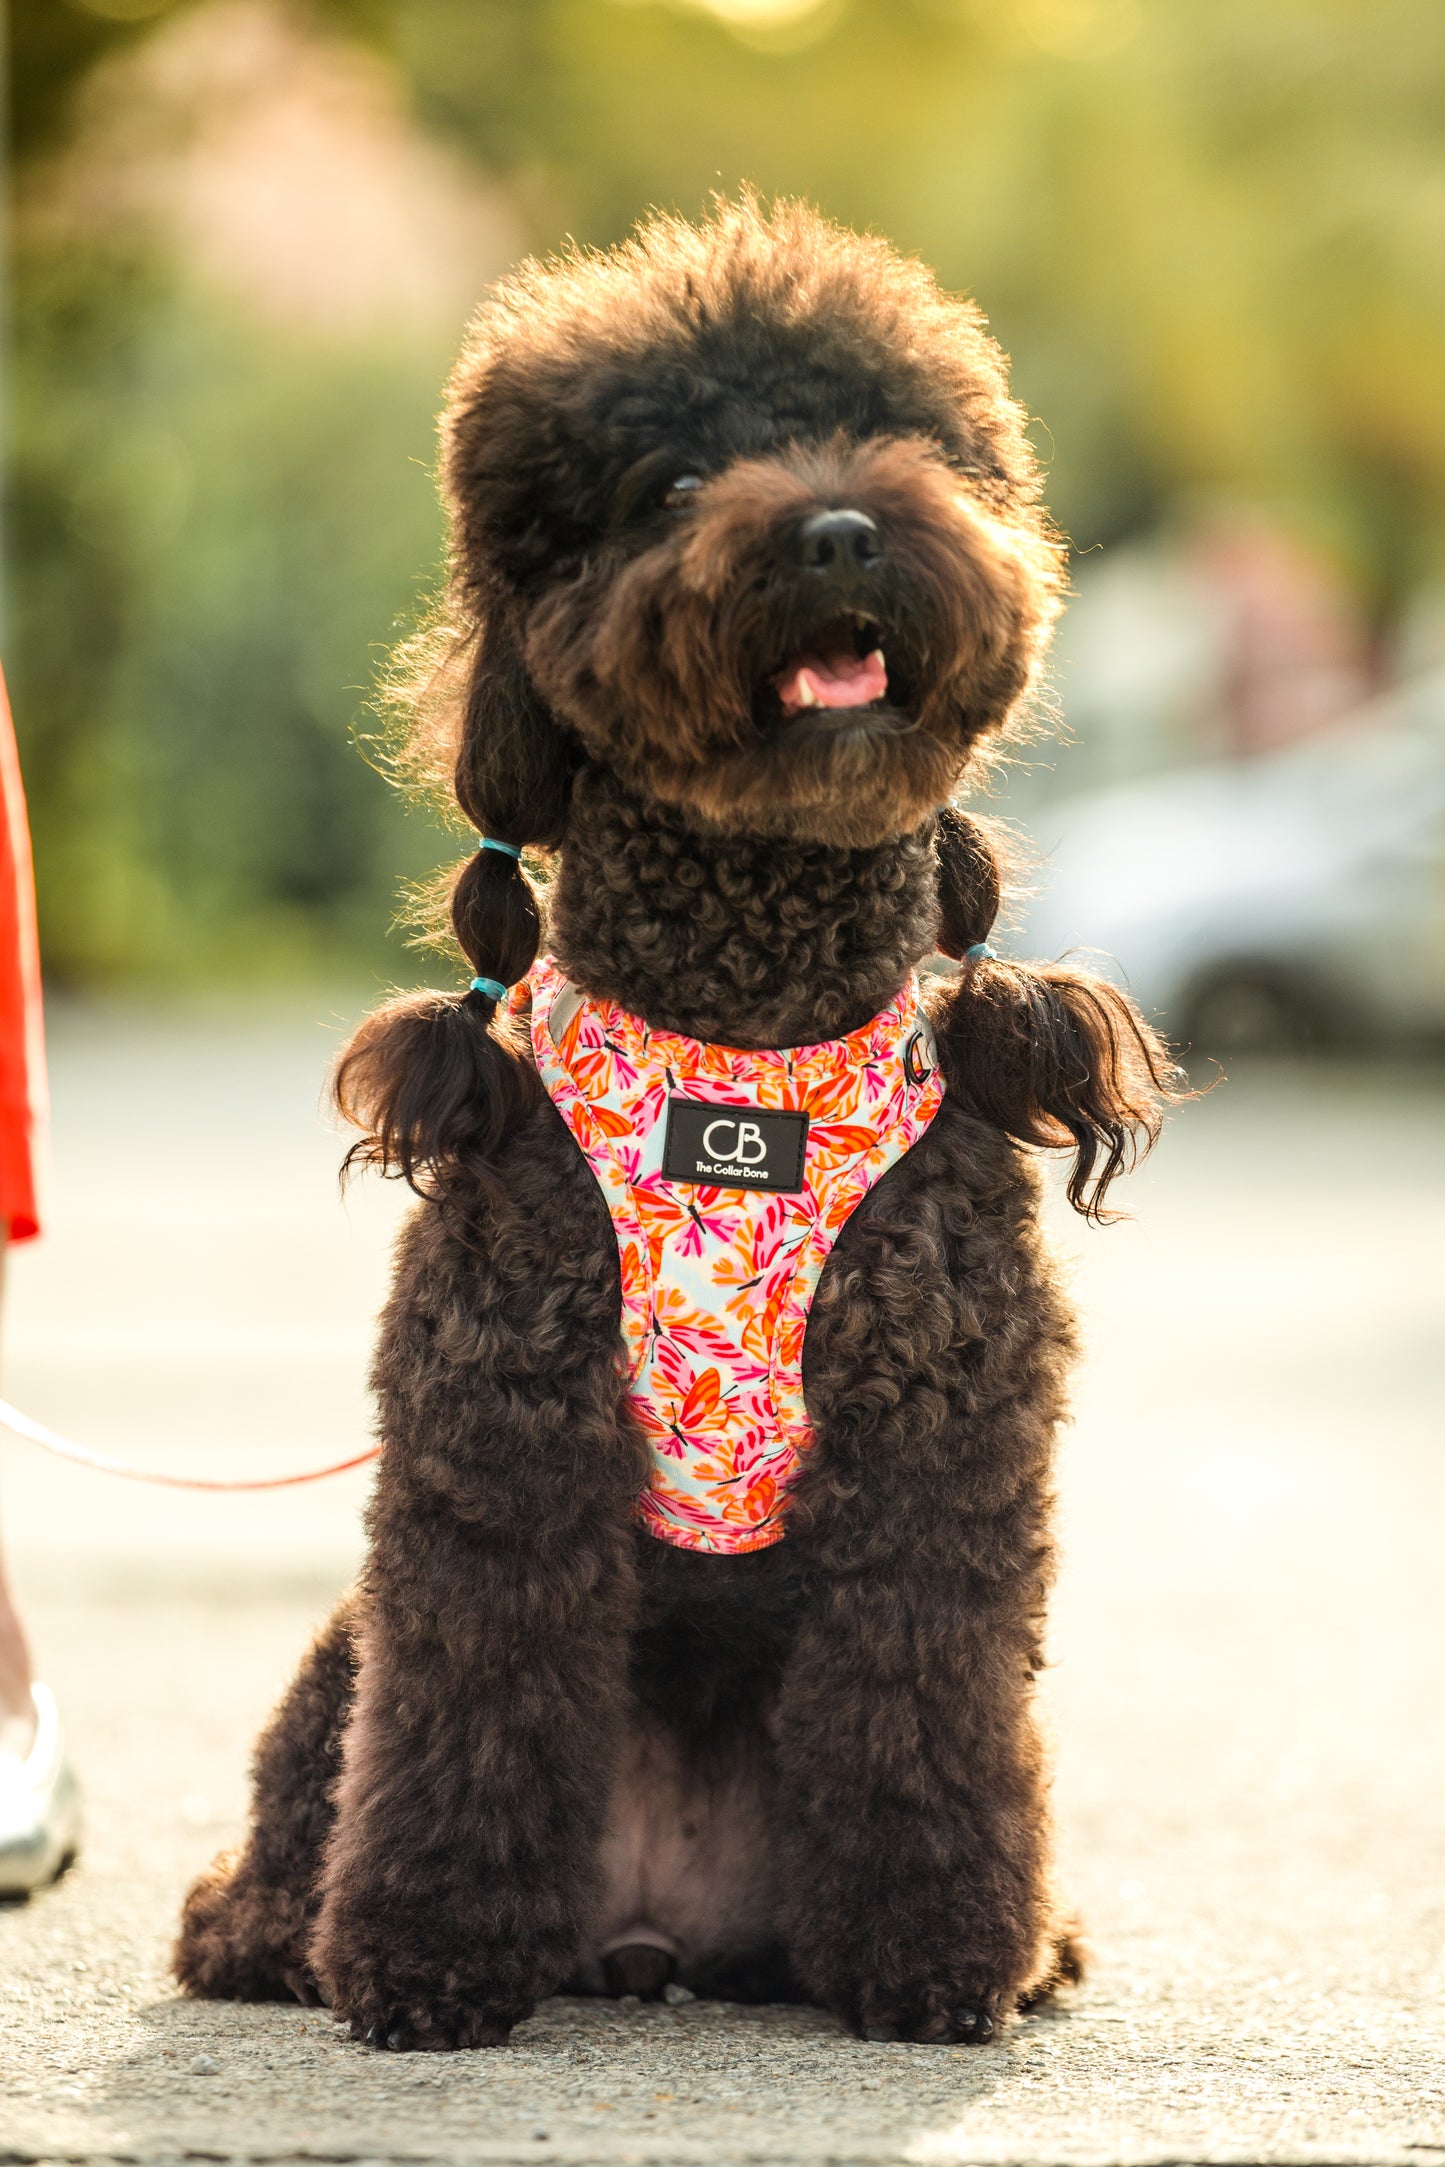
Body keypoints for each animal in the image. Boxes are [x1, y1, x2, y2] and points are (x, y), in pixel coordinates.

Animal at [175, 199, 1169, 2045]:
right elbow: (475, 1693)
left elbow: (924, 1703)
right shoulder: (504, 1417)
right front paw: (425, 1955)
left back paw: (1025, 1935)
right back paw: (275, 1921)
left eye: (894, 432)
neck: (746, 1021)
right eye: (672, 480)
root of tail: (658, 1930)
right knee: (325, 1756)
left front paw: (938, 1955)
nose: (843, 529)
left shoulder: (938, 1432)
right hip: (350, 1638)